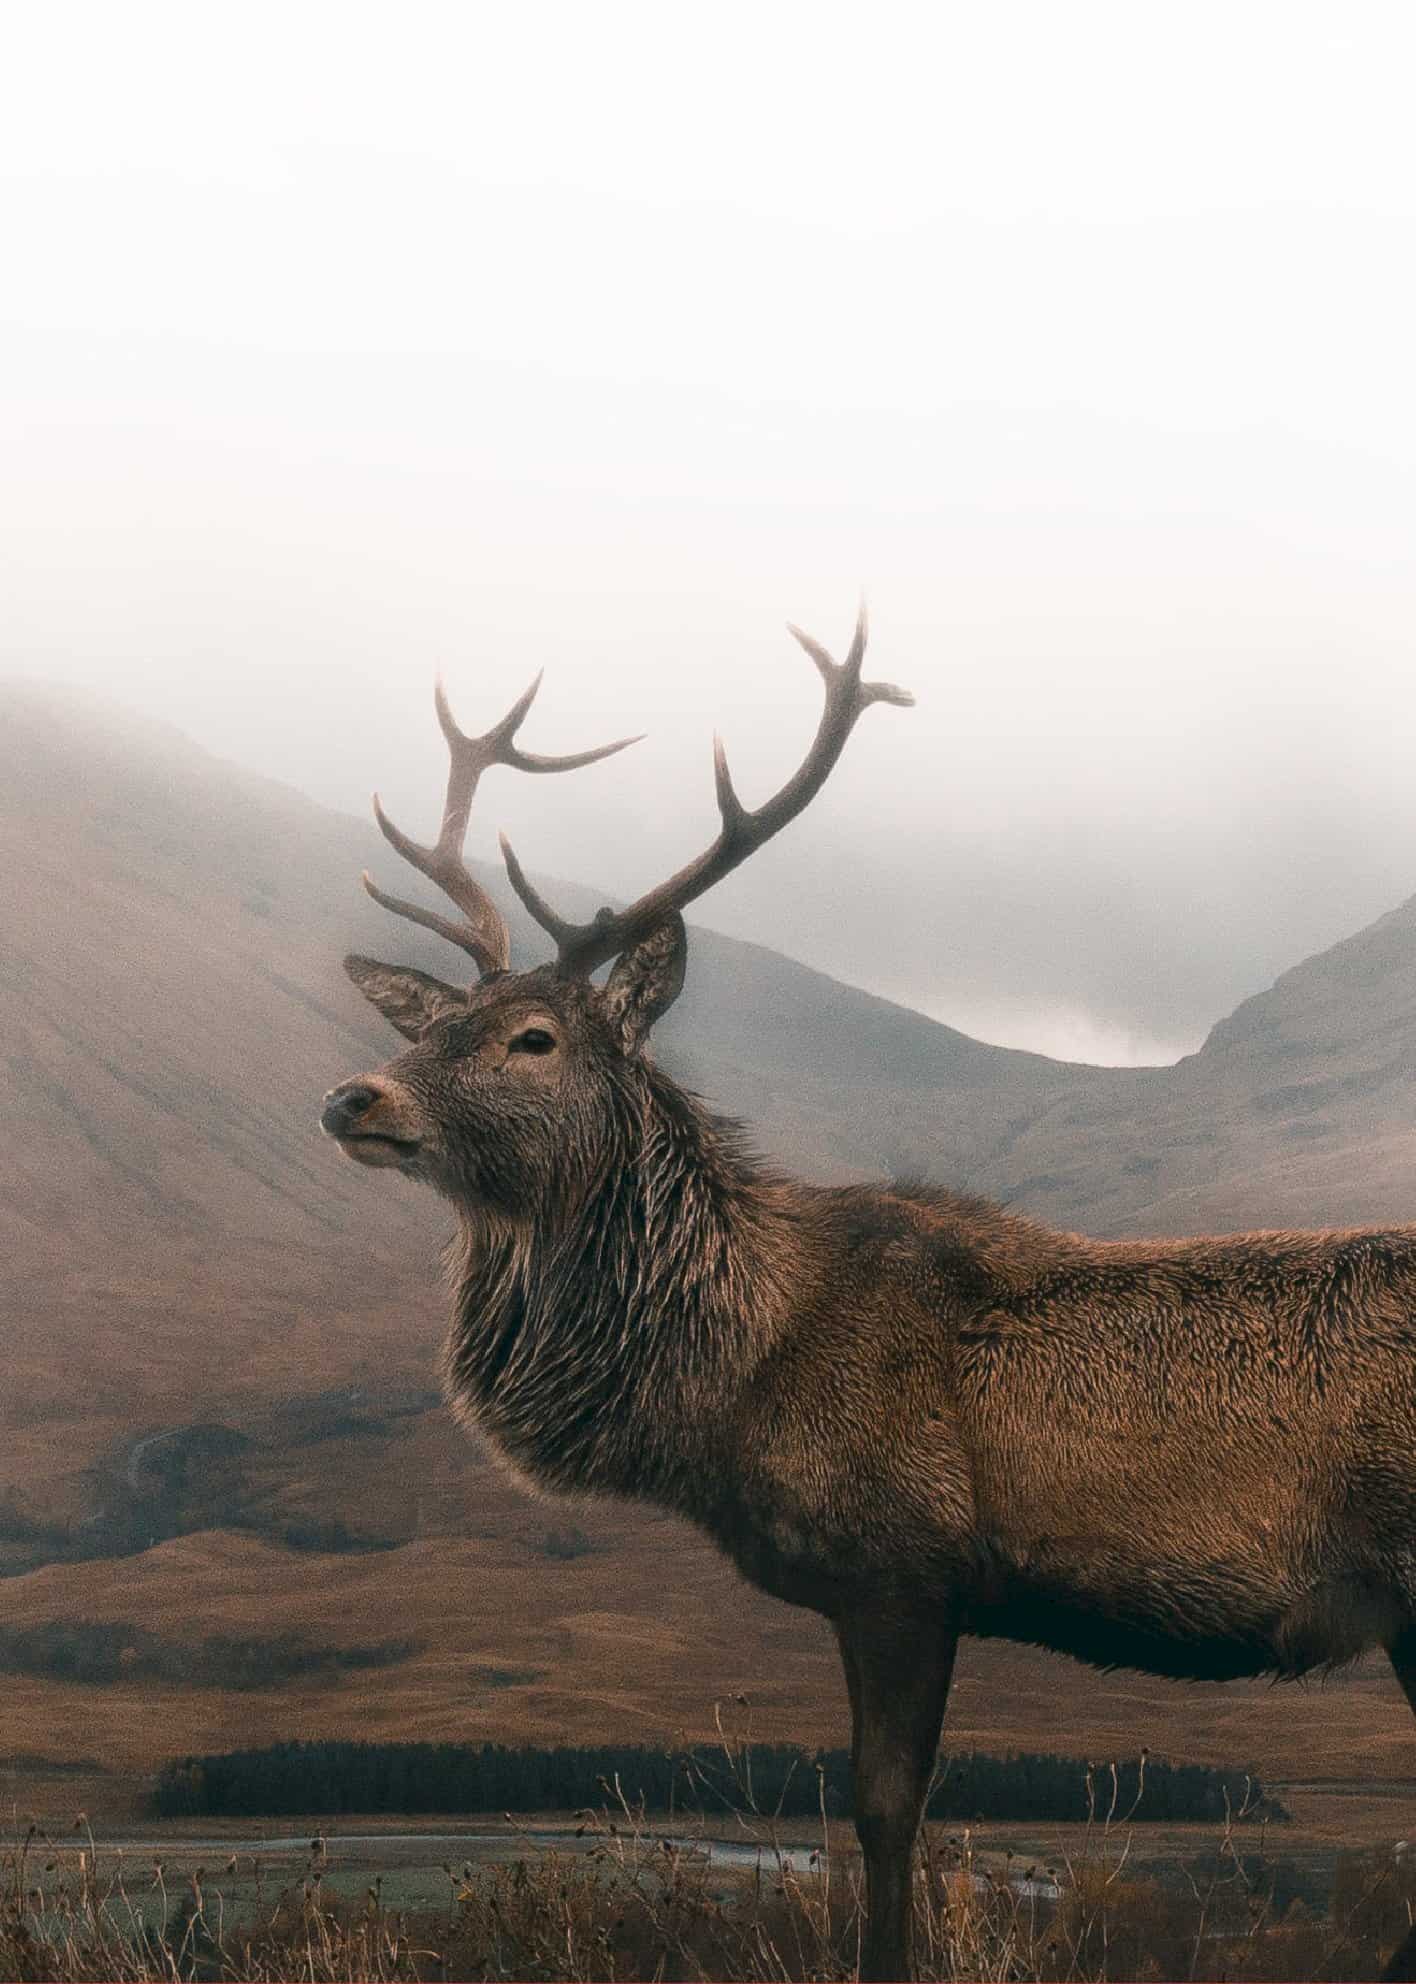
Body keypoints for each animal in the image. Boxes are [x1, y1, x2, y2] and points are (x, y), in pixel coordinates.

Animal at [319, 611, 1416, 1976]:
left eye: (537, 1038)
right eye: (427, 1026)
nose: (353, 1097)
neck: (729, 1382)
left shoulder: (905, 1566)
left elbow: (888, 1817)